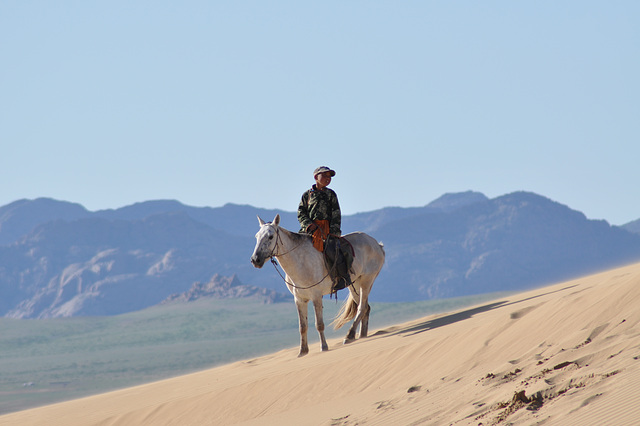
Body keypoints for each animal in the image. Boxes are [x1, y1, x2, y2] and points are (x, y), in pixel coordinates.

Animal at [250, 215, 384, 358]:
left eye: (270, 236)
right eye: (257, 236)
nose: (255, 260)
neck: (300, 262)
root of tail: (377, 244)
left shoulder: (316, 297)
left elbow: (319, 324)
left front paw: (324, 347)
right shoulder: (299, 299)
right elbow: (302, 326)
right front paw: (303, 351)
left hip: (366, 281)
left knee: (362, 308)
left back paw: (349, 335)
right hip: (355, 285)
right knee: (366, 308)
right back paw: (361, 335)